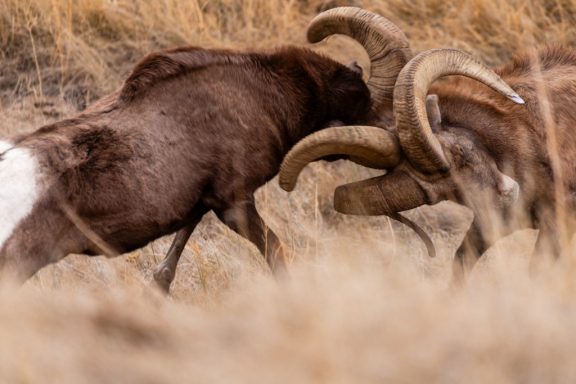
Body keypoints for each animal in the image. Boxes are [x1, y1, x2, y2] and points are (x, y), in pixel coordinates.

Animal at [0, 7, 414, 290]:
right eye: (368, 105)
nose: (400, 142)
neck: (266, 95)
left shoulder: (201, 205)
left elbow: (164, 273)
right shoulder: (234, 203)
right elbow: (277, 254)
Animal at [280, 44, 576, 282]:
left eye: (460, 151)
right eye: (449, 193)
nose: (506, 196)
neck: (532, 133)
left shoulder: (555, 223)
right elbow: (461, 262)